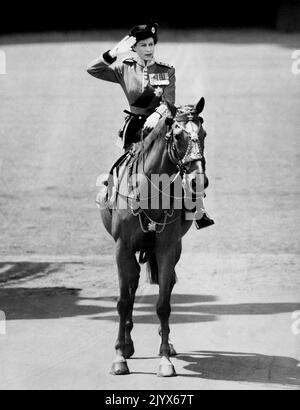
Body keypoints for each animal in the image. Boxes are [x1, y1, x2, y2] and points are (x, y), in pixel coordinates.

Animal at [101, 97, 209, 376]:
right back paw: (127, 344)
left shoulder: (167, 249)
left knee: (165, 284)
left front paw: (164, 359)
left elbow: (163, 304)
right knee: (131, 286)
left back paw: (166, 341)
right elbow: (123, 301)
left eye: (203, 133)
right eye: (178, 135)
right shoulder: (122, 248)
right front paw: (119, 357)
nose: (198, 180)